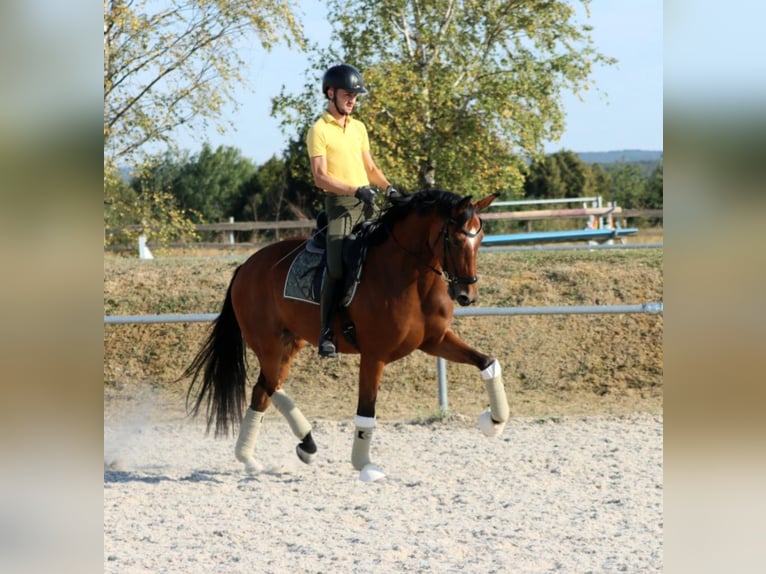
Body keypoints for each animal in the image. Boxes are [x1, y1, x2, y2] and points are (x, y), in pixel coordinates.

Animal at [183, 189, 512, 482]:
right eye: (455, 240)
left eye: (480, 239)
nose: (467, 294)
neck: (410, 276)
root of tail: (246, 266)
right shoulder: (374, 356)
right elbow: (366, 411)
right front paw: (364, 465)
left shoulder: (435, 341)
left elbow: (487, 362)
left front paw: (494, 421)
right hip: (270, 346)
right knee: (267, 386)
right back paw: (270, 452)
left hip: (290, 344)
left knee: (264, 389)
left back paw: (273, 453)